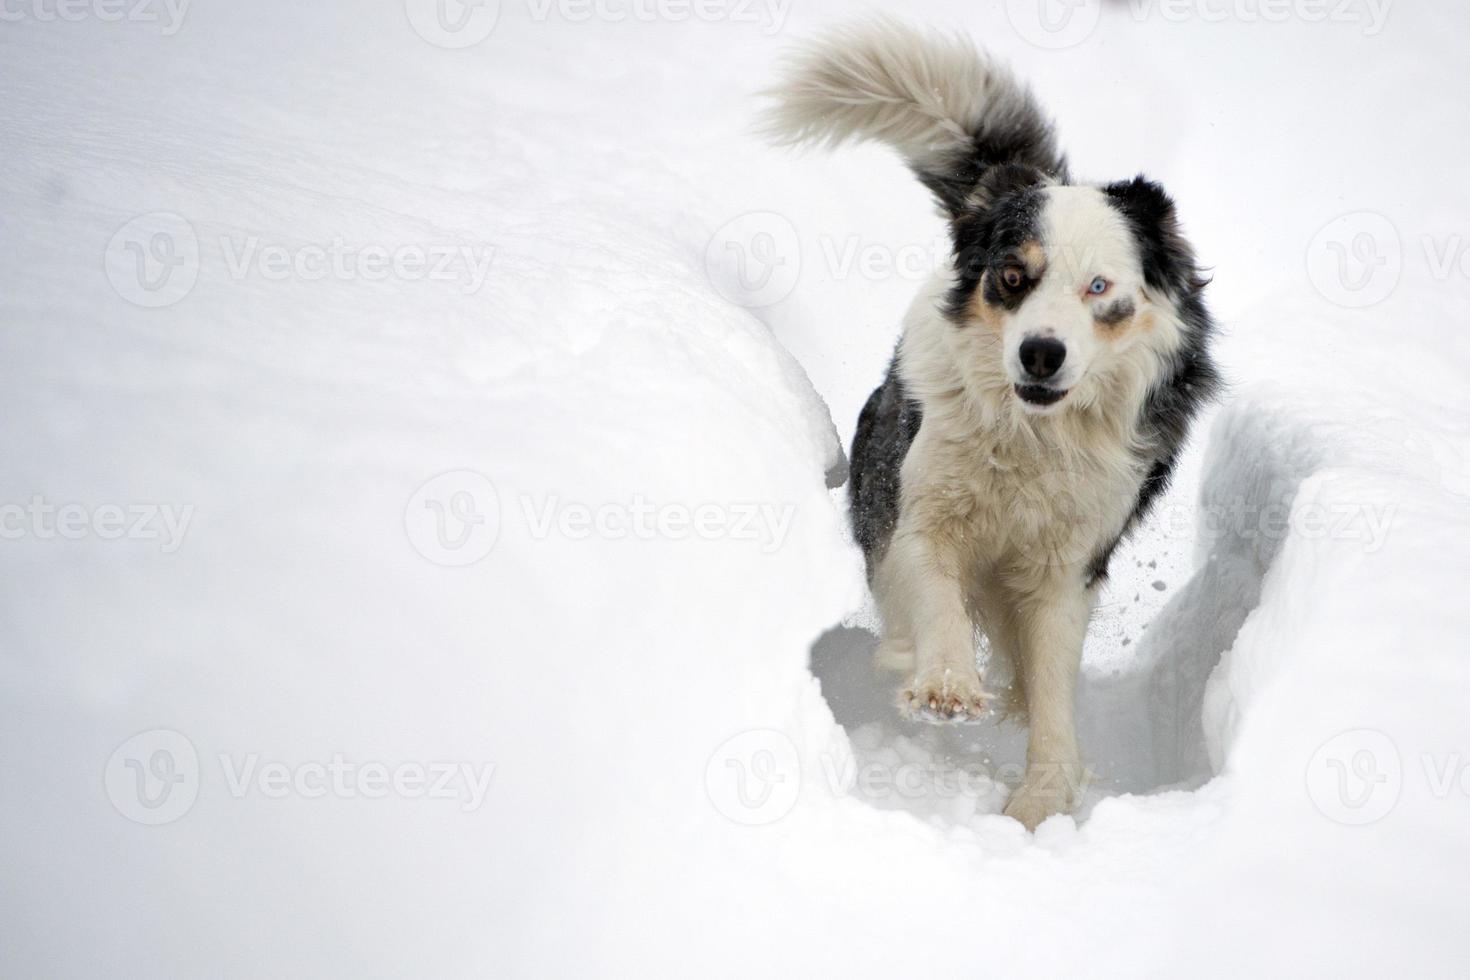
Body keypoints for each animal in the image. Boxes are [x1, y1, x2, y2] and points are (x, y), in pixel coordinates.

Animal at [764, 19, 1223, 828]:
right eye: (1014, 275)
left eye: (1099, 287)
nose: (1042, 353)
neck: (1029, 434)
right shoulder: (919, 507)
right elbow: (936, 592)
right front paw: (945, 683)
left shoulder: (1069, 564)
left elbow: (1052, 679)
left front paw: (1044, 797)